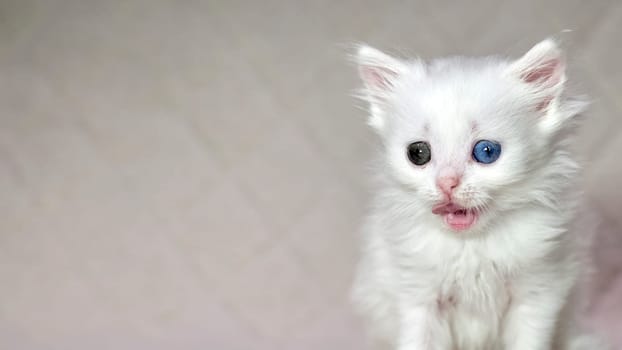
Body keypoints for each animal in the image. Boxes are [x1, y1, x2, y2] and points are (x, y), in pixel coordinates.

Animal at [354, 39, 608, 350]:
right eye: (418, 153)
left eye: (486, 151)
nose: (447, 183)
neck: (472, 246)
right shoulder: (418, 298)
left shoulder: (537, 292)